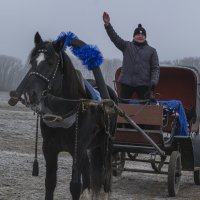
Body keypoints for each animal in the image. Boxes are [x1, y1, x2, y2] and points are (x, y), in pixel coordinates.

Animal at [10, 32, 117, 199]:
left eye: (51, 62)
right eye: (32, 62)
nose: (29, 94)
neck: (63, 112)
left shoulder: (77, 149)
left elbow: (75, 186)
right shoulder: (50, 148)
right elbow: (50, 183)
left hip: (105, 145)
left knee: (105, 177)